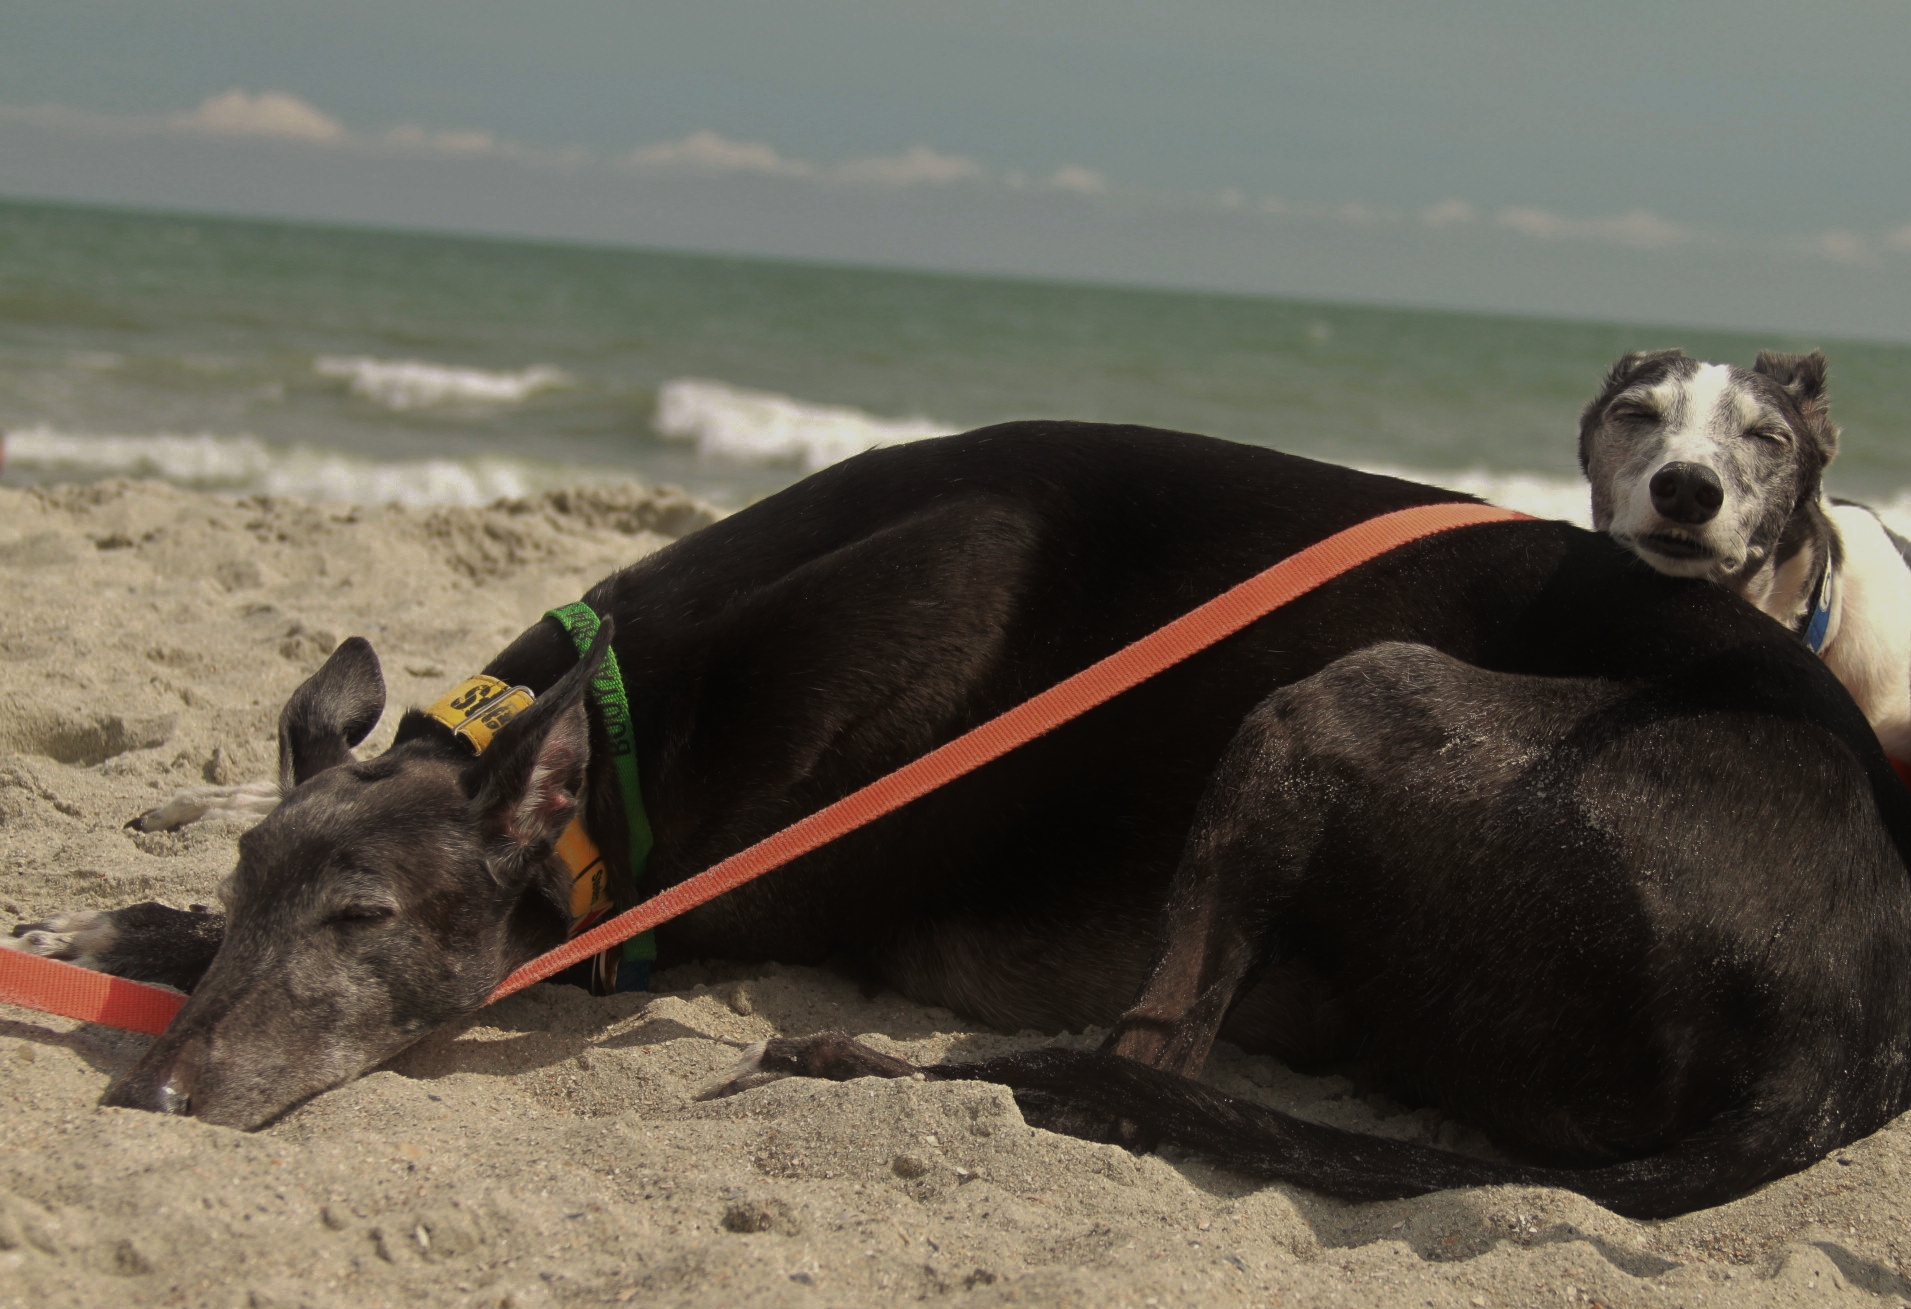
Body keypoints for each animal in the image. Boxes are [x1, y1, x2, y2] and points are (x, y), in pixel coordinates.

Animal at [11, 422, 1911, 1219]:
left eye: (369, 925)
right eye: (279, 889)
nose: (155, 1100)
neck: (631, 720)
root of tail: (1839, 1028)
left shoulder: (662, 911)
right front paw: (119, 916)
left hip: (1346, 695)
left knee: (1134, 1063)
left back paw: (890, 1067)